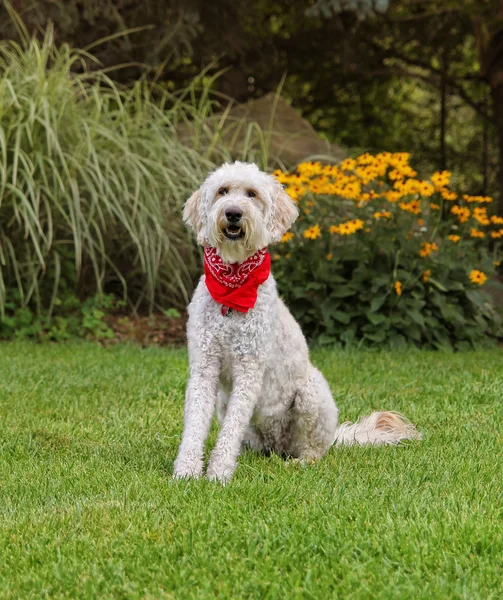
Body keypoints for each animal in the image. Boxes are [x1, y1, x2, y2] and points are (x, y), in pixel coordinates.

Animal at [173, 162, 422, 486]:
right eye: (222, 191)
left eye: (251, 194)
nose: (233, 213)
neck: (232, 287)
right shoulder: (204, 366)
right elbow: (194, 425)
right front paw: (187, 472)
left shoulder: (249, 370)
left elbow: (230, 430)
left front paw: (218, 473)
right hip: (232, 410)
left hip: (311, 393)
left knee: (312, 450)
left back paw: (299, 462)